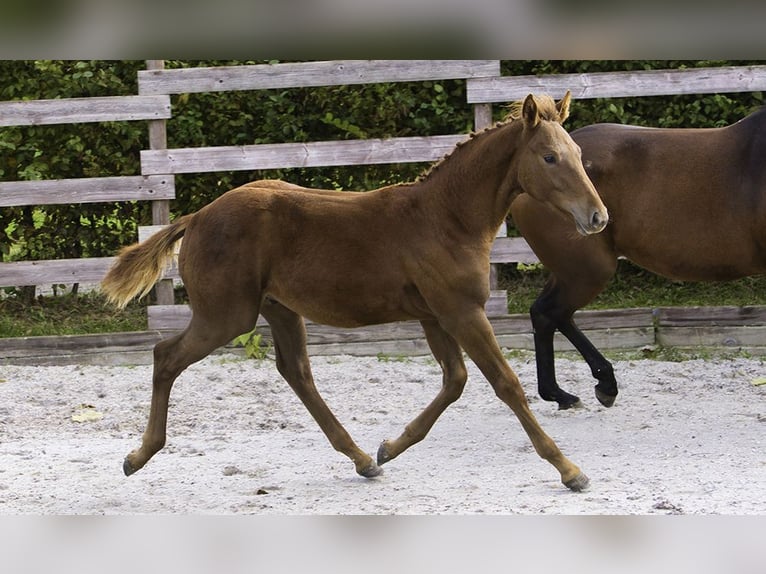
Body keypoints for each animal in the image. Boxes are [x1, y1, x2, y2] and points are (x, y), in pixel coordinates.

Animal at [102, 92, 608, 492]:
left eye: (577, 152)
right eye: (549, 157)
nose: (598, 217)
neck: (446, 218)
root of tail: (196, 217)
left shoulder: (435, 315)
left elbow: (455, 380)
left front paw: (389, 448)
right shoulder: (462, 312)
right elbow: (505, 384)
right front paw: (569, 470)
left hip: (279, 309)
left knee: (297, 372)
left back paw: (363, 460)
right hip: (226, 316)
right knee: (166, 356)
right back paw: (137, 457)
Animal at [512, 106, 766, 412]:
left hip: (570, 270)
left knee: (546, 313)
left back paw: (566, 393)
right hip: (588, 269)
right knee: (551, 312)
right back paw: (594, 387)